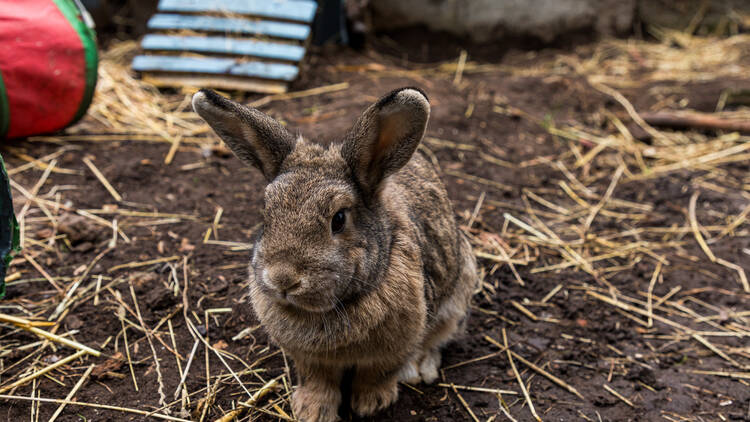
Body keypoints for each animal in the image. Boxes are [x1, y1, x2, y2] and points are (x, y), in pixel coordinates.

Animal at [191, 87, 478, 420]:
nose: (282, 279)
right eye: (266, 213)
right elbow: (317, 380)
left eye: (338, 219)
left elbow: (378, 373)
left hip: (457, 296)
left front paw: (371, 403)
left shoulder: (393, 348)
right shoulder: (309, 360)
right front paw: (312, 410)